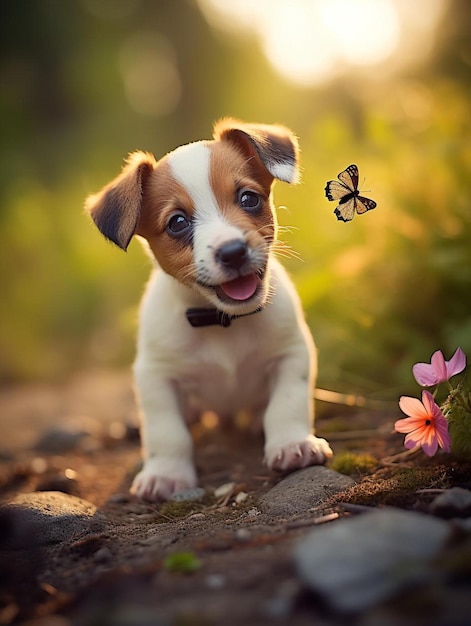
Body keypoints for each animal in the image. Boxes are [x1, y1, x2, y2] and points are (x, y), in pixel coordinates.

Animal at [86, 117, 334, 500]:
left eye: (249, 198)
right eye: (177, 222)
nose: (233, 252)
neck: (221, 321)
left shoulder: (292, 354)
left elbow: (287, 403)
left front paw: (293, 443)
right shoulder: (155, 376)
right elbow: (166, 432)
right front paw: (167, 474)